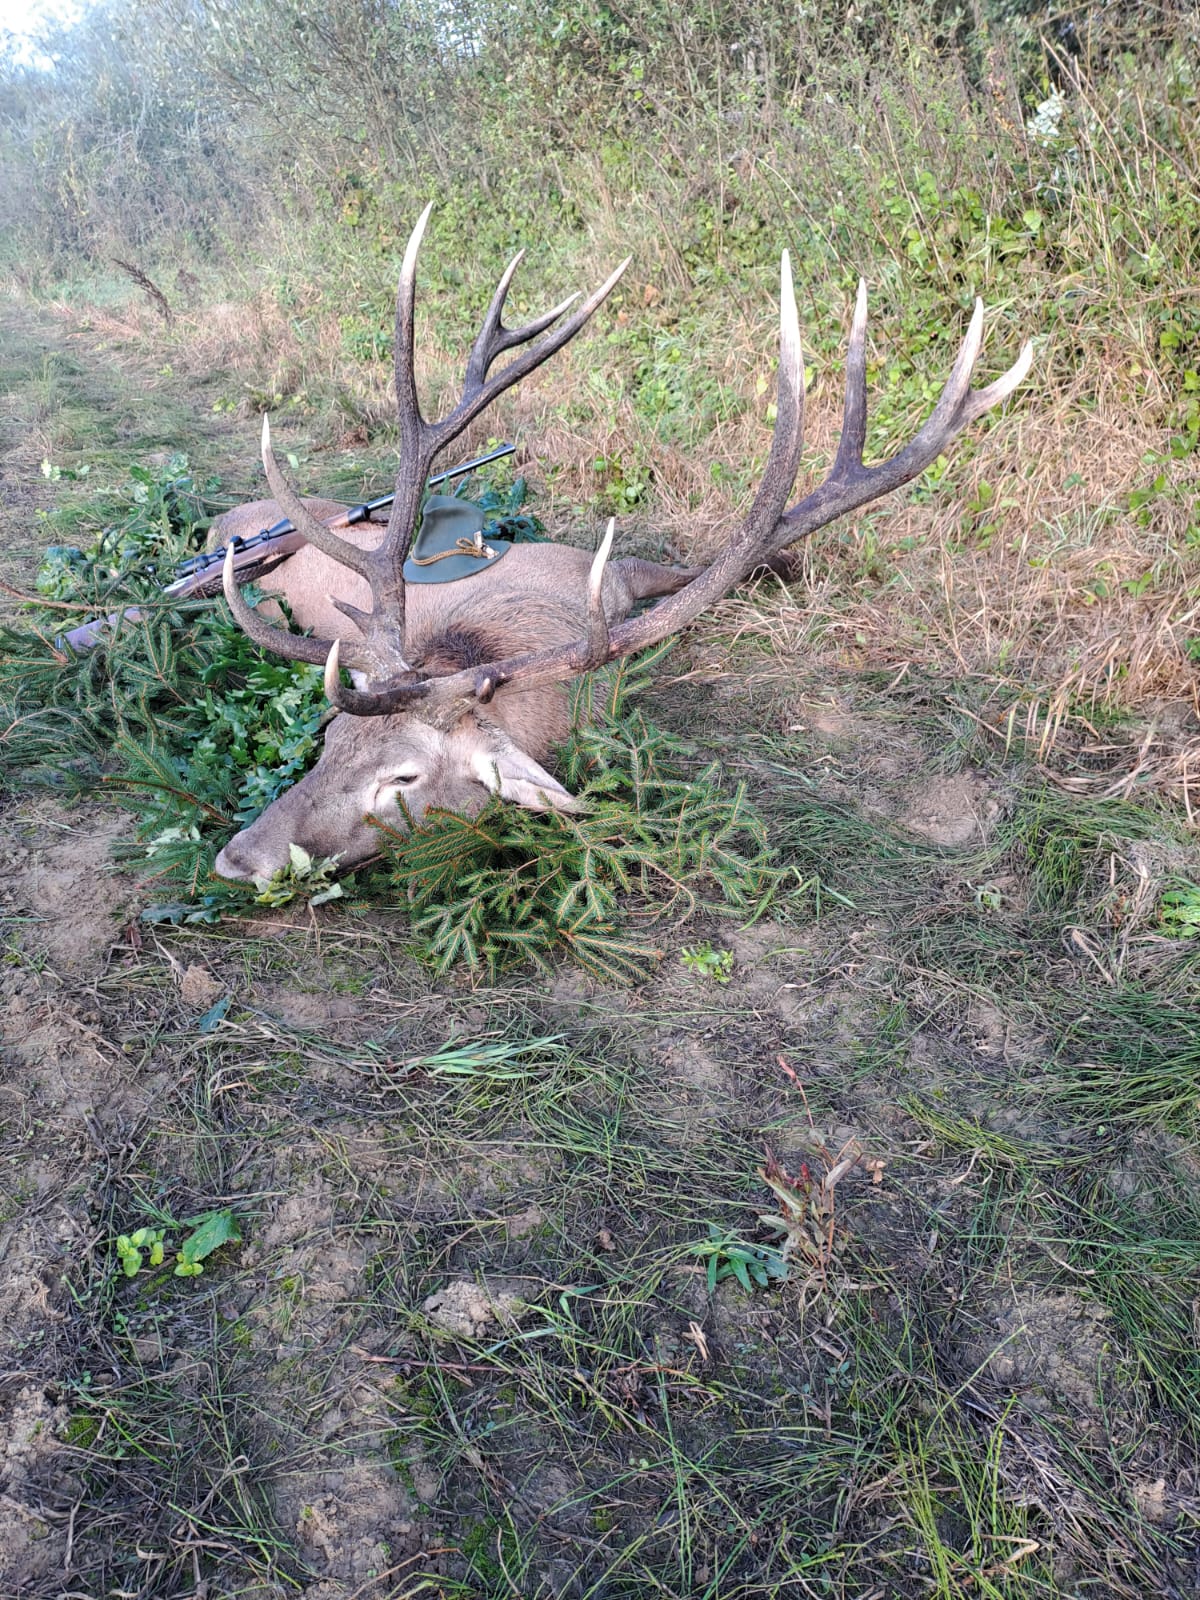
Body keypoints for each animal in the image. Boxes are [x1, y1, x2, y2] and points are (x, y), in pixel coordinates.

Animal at [212, 204, 1031, 887]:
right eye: (331, 739)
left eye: (403, 778)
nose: (236, 858)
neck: (512, 638)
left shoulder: (607, 570)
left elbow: (695, 568)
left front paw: (785, 561)